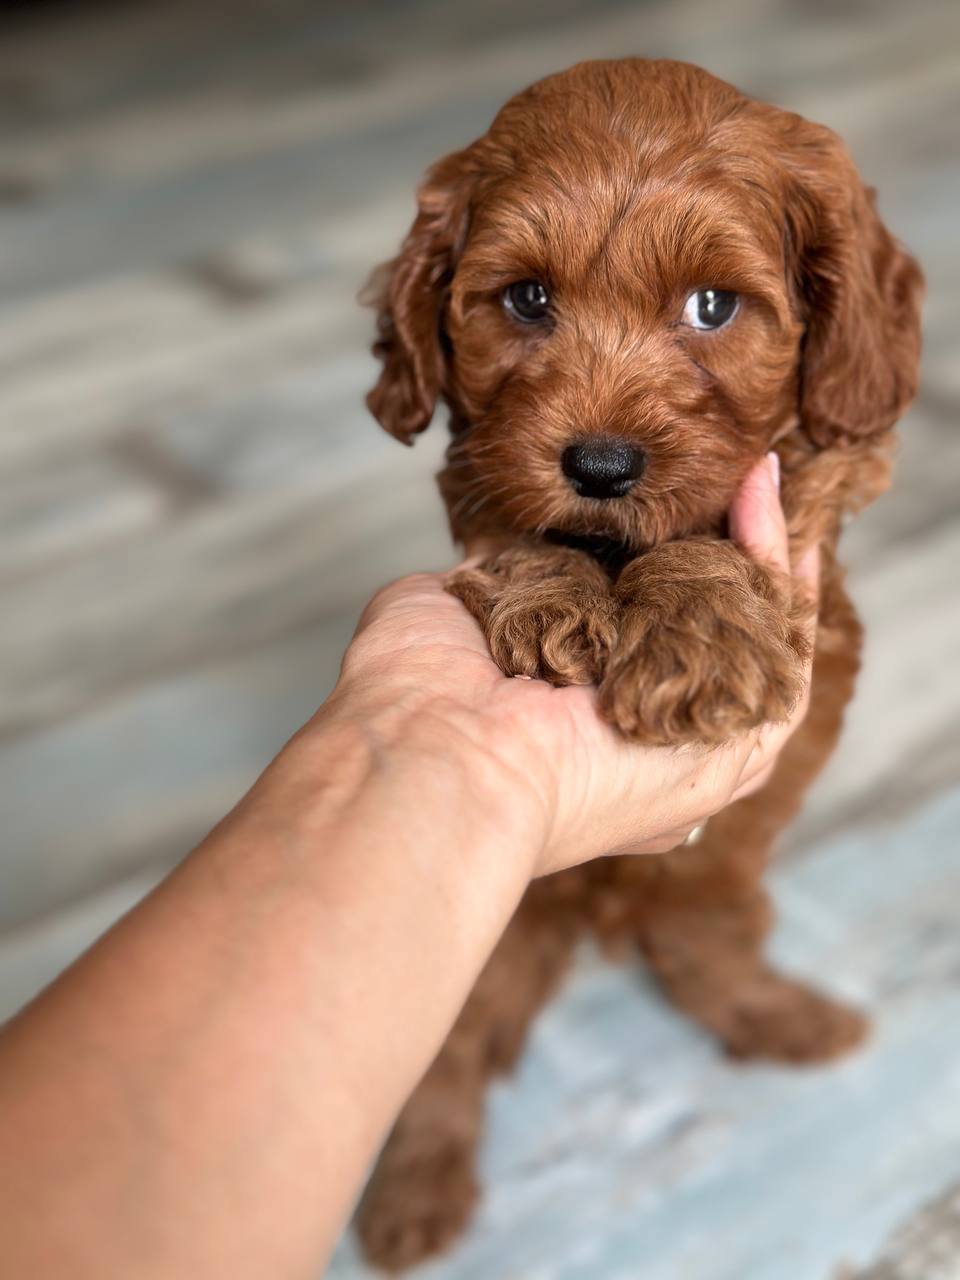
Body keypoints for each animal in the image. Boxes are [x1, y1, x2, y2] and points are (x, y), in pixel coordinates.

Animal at [355, 57, 926, 1269]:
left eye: (712, 306)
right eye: (527, 300)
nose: (602, 466)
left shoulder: (823, 473)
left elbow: (730, 523)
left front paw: (700, 640)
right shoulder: (480, 477)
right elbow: (516, 524)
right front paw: (555, 601)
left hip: (716, 883)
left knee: (701, 942)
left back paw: (779, 1014)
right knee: (446, 1059)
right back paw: (413, 1195)